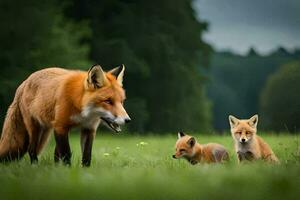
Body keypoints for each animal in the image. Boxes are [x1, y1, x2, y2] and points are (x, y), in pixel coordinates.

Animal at [0, 65, 131, 166]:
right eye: (108, 101)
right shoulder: (60, 127)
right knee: (32, 150)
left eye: (122, 101)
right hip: (35, 128)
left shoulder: (89, 129)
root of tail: (24, 83)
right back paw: (35, 166)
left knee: (52, 153)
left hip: (46, 130)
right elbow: (66, 153)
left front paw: (85, 171)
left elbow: (86, 156)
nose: (127, 120)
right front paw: (67, 171)